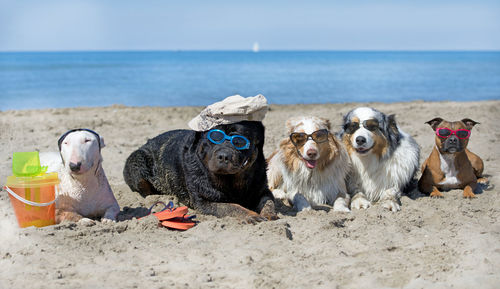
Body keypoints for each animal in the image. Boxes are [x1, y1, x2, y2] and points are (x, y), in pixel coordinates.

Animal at [122, 120, 278, 222]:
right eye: (214, 138)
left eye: (239, 141)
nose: (224, 155)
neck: (231, 181)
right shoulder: (204, 201)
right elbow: (232, 206)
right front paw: (252, 215)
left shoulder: (263, 189)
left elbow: (268, 201)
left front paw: (268, 213)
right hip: (137, 162)